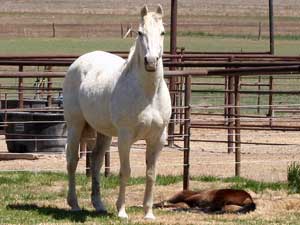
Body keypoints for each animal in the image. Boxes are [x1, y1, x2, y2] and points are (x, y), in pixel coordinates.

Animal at [63, 4, 171, 220]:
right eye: (140, 32)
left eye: (163, 32)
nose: (151, 62)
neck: (148, 94)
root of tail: (79, 62)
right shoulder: (125, 137)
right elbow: (125, 172)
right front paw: (121, 211)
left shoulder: (158, 138)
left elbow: (151, 174)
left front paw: (148, 213)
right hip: (75, 125)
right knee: (72, 160)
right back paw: (75, 204)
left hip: (103, 133)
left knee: (96, 162)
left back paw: (99, 204)